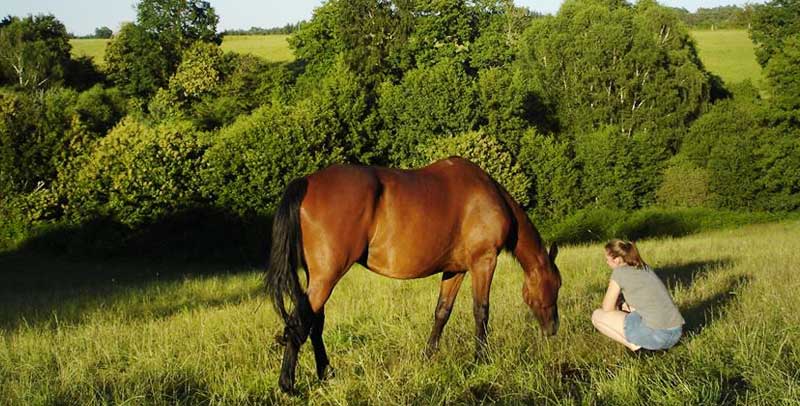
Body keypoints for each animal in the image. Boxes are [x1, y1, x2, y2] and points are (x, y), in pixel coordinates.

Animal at [265, 156, 561, 393]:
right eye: (556, 285)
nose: (553, 329)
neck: (489, 196)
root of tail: (307, 181)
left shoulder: (455, 270)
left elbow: (442, 312)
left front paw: (428, 356)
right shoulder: (484, 262)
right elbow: (481, 311)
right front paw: (481, 360)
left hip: (319, 279)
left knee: (314, 323)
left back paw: (326, 374)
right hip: (326, 278)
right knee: (300, 323)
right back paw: (288, 385)